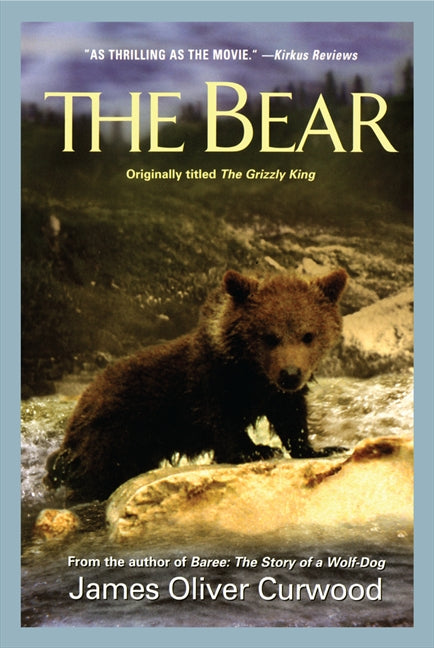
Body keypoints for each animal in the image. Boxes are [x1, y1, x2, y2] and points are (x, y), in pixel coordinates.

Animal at [44, 267, 348, 503]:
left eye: (308, 335)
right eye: (269, 336)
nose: (290, 374)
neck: (249, 372)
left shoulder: (275, 393)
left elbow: (291, 417)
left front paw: (321, 448)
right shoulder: (211, 383)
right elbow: (222, 423)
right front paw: (257, 449)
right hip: (113, 436)